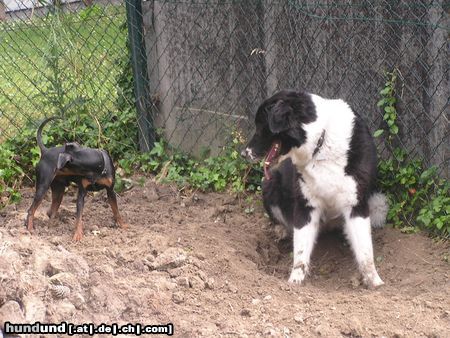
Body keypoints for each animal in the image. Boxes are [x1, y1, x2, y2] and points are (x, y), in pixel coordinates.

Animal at [243, 90, 386, 288]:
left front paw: (374, 280)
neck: (321, 142)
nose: (244, 153)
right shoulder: (305, 205)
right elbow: (301, 251)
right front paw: (294, 281)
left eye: (259, 126)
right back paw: (281, 231)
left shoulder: (356, 204)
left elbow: (365, 250)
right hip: (269, 184)